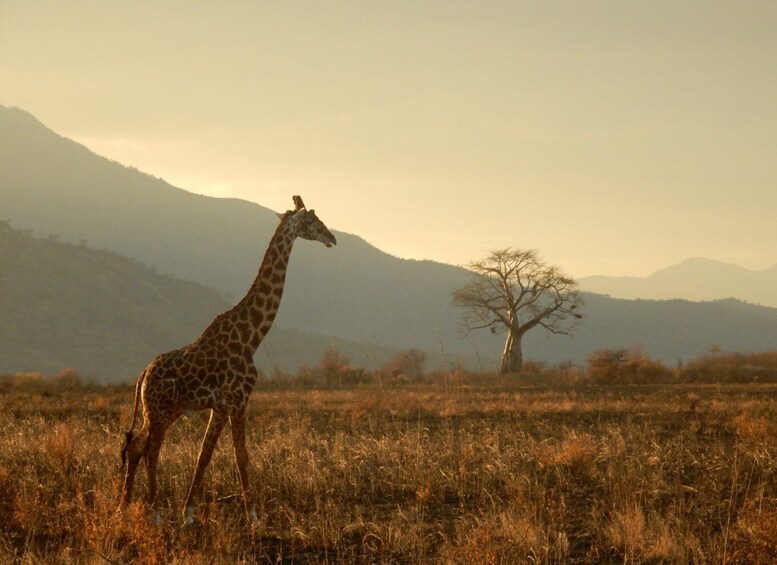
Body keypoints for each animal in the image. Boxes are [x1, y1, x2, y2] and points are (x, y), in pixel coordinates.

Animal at [119, 195, 336, 525]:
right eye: (312, 220)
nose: (332, 238)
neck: (252, 337)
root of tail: (143, 374)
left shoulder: (220, 406)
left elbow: (204, 456)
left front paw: (188, 513)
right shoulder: (237, 399)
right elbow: (240, 456)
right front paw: (254, 516)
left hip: (162, 410)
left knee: (136, 446)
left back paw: (122, 507)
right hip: (160, 409)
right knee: (151, 449)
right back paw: (154, 512)